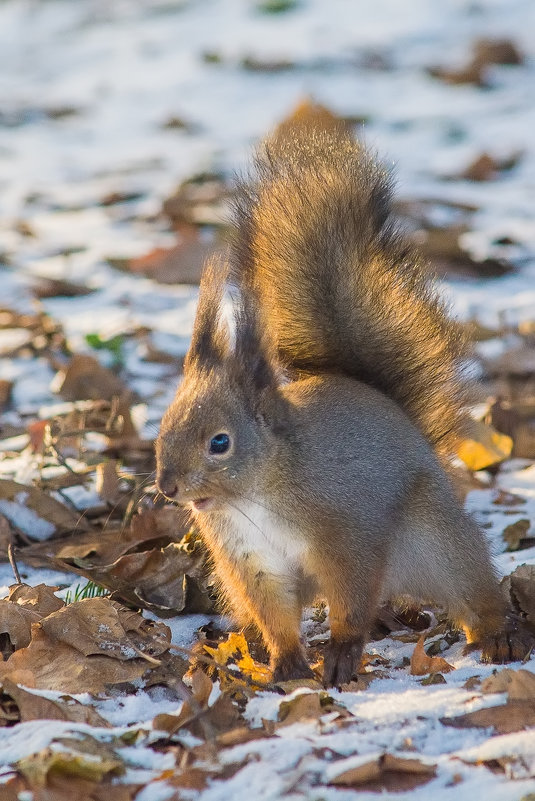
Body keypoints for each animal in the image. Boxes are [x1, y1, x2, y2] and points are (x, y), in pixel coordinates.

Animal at [155, 126, 532, 688]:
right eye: (161, 430)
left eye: (220, 442)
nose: (167, 487)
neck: (259, 491)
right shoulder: (250, 561)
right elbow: (275, 613)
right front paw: (288, 661)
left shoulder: (347, 530)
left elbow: (351, 595)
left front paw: (340, 651)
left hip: (434, 540)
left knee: (467, 589)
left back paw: (497, 634)